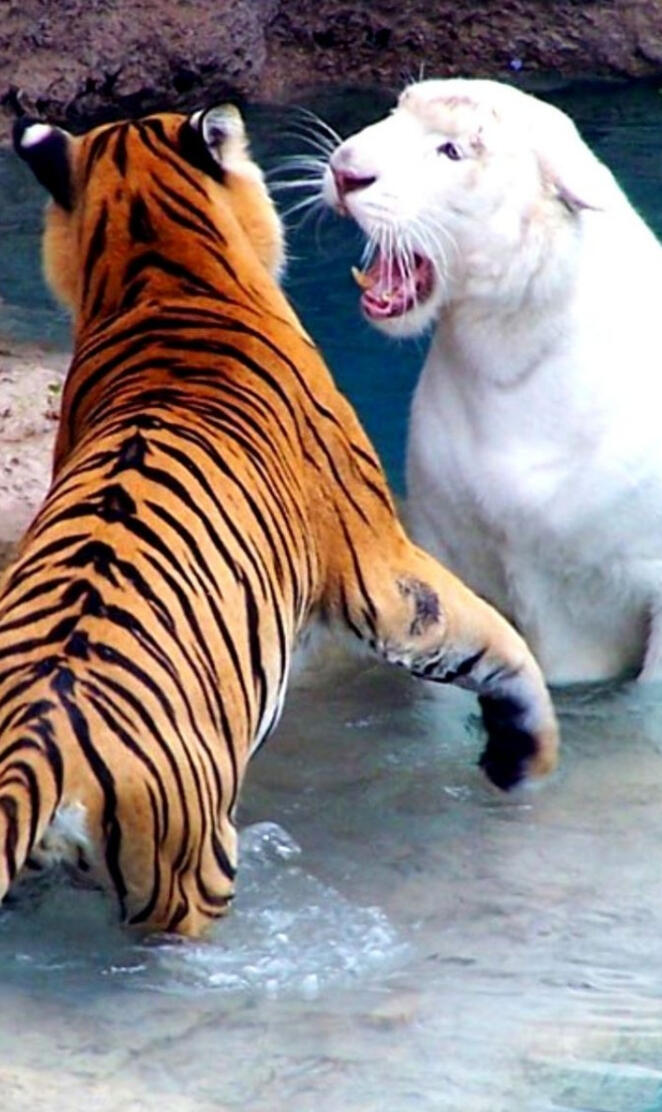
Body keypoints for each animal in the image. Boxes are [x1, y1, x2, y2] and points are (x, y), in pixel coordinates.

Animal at [4, 104, 558, 937]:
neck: (157, 273)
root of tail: (33, 753)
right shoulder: (381, 571)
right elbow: (491, 640)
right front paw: (523, 757)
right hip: (189, 867)